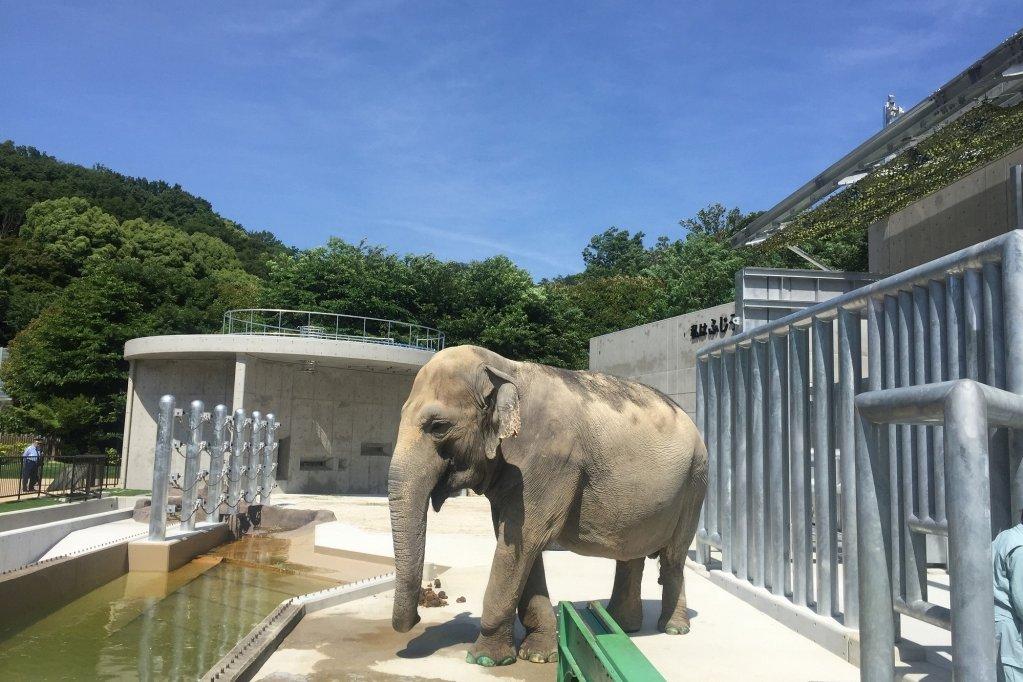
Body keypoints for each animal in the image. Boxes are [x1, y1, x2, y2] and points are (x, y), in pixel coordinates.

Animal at [386, 347, 707, 666]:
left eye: (438, 427)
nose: (419, 616)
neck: (503, 367)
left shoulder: (550, 461)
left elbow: (524, 541)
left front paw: (485, 659)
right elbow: (519, 544)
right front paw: (538, 655)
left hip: (695, 482)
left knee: (673, 558)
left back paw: (673, 628)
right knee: (632, 556)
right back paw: (622, 626)